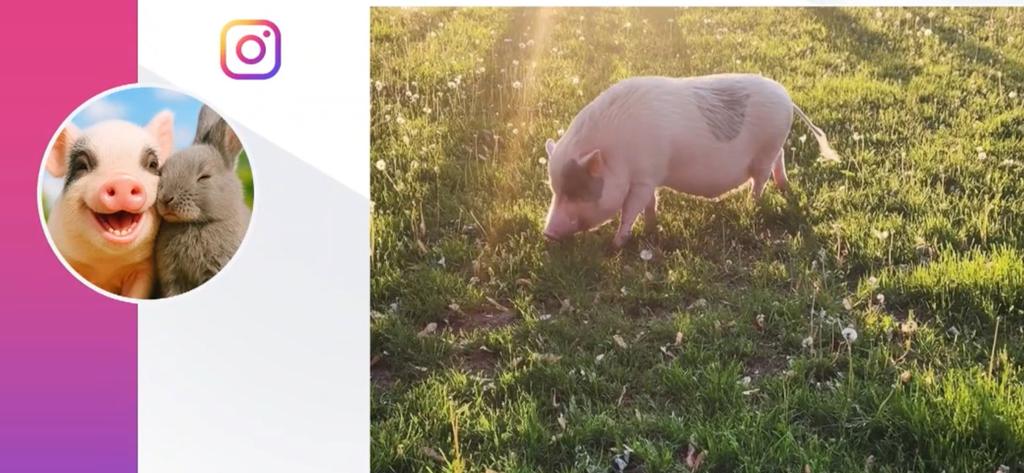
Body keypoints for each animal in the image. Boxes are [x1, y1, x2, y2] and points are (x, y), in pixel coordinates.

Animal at [542, 73, 839, 248]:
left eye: (577, 191)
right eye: (555, 189)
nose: (547, 233)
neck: (615, 152)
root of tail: (787, 97)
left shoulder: (643, 176)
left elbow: (630, 209)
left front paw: (616, 245)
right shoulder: (650, 178)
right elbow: (649, 203)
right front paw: (651, 227)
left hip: (767, 148)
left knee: (760, 178)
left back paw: (751, 205)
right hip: (774, 146)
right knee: (781, 158)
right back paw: (783, 187)